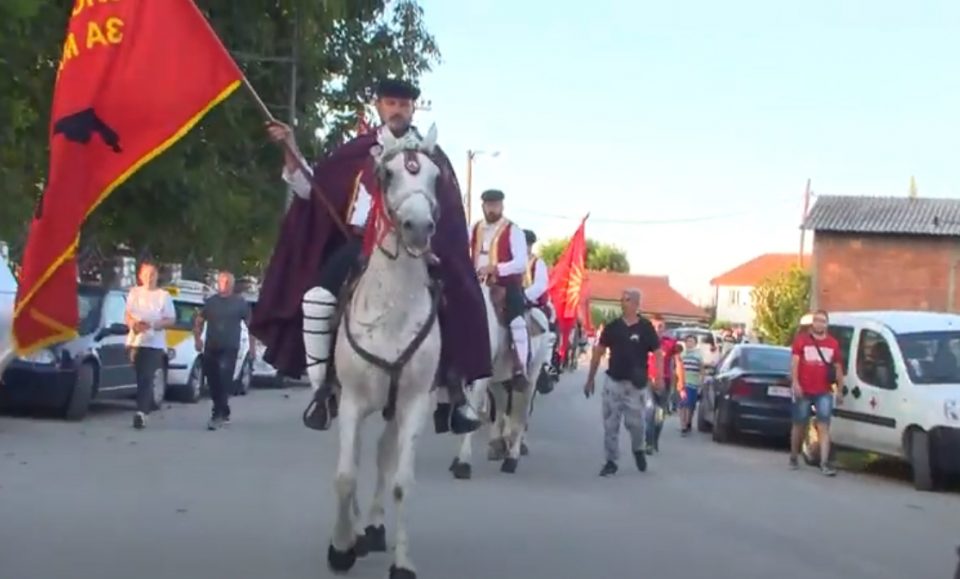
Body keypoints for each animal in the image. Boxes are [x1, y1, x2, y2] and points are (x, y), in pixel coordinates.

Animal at [322, 127, 442, 579]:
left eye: (436, 177)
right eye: (387, 175)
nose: (418, 227)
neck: (392, 308)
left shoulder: (413, 403)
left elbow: (401, 482)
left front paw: (402, 562)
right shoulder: (352, 402)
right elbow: (344, 476)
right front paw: (340, 547)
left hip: (395, 409)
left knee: (382, 456)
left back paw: (371, 526)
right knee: (356, 458)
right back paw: (355, 529)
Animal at [448, 292, 548, 478]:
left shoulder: (479, 381)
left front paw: (463, 464)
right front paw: (458, 461)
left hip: (529, 380)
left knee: (520, 416)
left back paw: (511, 459)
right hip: (498, 381)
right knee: (502, 408)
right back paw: (497, 445)